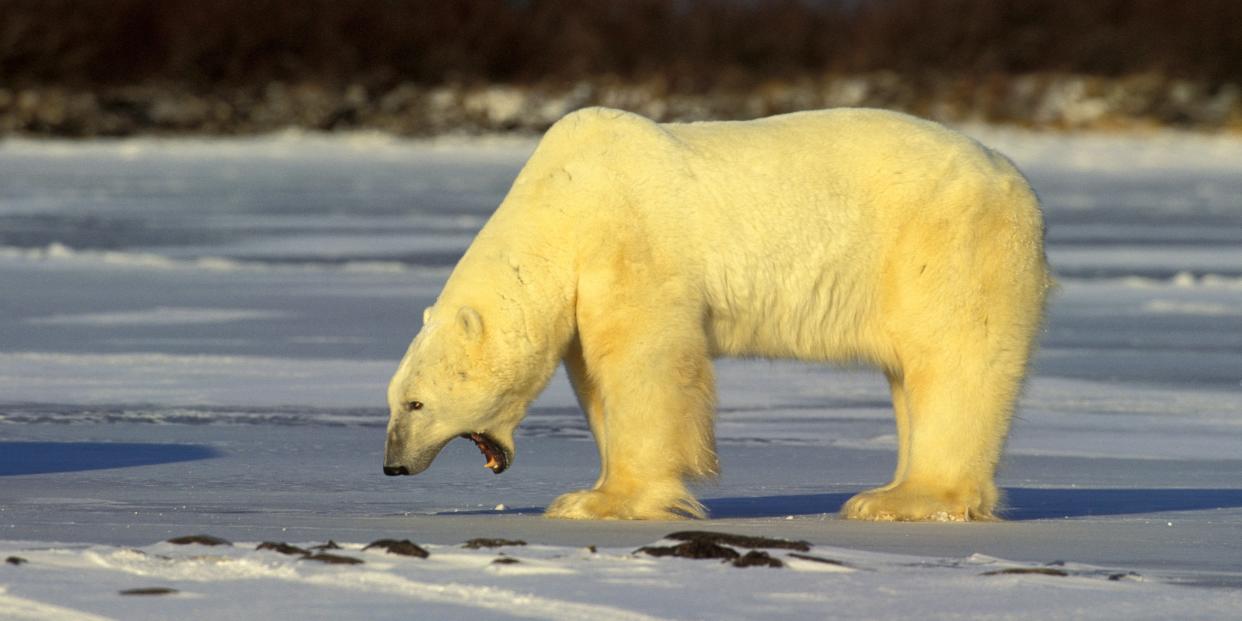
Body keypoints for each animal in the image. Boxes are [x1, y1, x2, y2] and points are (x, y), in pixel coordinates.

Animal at [382, 105, 1053, 519]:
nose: (392, 466)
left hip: (945, 244)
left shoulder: (629, 243)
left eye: (415, 403)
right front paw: (594, 487)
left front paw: (601, 500)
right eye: (392, 400)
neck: (558, 206)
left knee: (954, 359)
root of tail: (1016, 179)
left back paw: (899, 498)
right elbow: (594, 378)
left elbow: (646, 364)